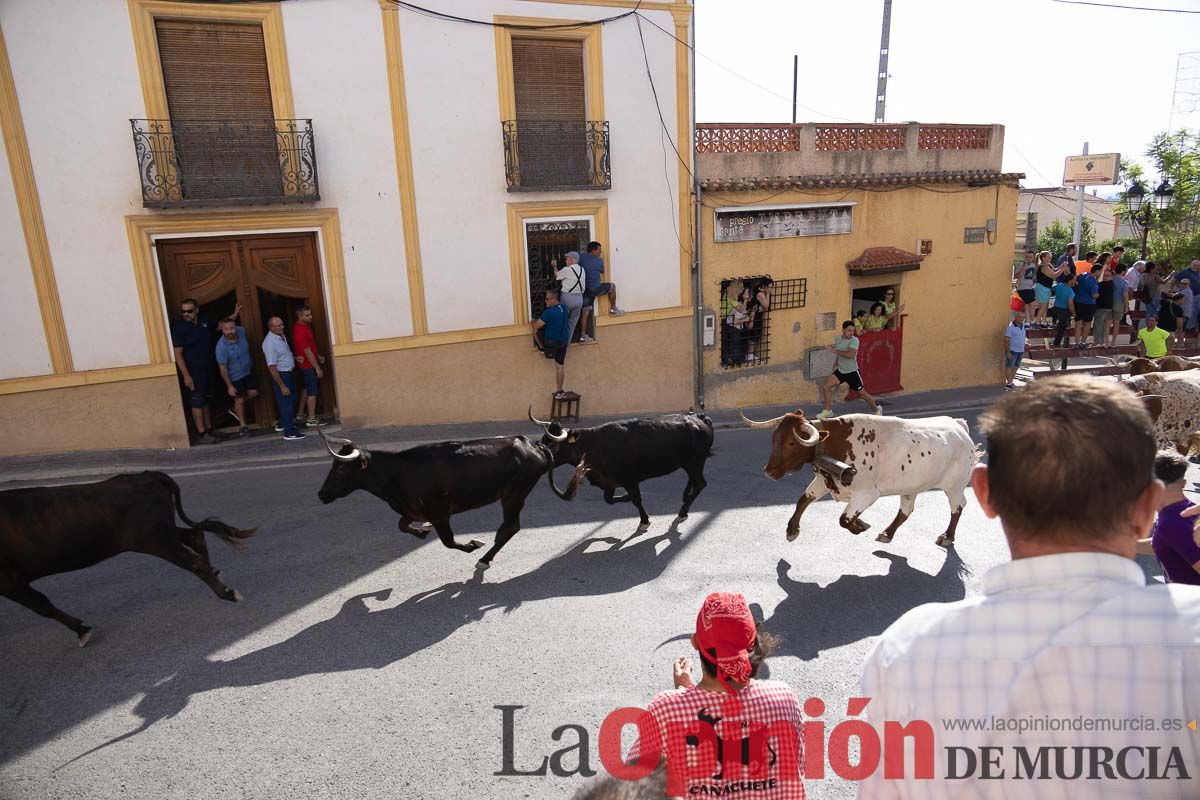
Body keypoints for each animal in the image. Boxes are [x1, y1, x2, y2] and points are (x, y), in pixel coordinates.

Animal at [1, 472, 255, 647]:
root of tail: (147, 475)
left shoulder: (9, 582)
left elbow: (41, 605)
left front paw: (82, 631)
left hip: (154, 539)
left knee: (194, 561)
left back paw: (228, 593)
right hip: (163, 533)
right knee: (195, 536)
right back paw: (216, 572)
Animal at [316, 424, 583, 568]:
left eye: (340, 469)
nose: (321, 494)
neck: (399, 473)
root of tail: (533, 445)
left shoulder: (440, 513)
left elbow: (449, 541)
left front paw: (473, 544)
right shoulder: (413, 509)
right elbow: (403, 525)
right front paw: (422, 531)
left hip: (514, 495)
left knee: (512, 526)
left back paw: (485, 557)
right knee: (509, 527)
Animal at [530, 410, 715, 534]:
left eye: (552, 444)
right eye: (542, 441)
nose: (538, 459)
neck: (594, 445)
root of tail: (698, 417)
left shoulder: (629, 480)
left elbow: (637, 500)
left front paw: (644, 521)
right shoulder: (609, 482)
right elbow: (610, 500)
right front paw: (626, 497)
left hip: (695, 462)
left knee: (700, 483)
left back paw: (683, 512)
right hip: (690, 464)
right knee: (694, 481)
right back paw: (685, 499)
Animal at [744, 410, 979, 546]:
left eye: (791, 443)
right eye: (774, 438)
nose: (769, 471)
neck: (835, 441)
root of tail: (959, 425)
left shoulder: (867, 493)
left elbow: (844, 519)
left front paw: (860, 525)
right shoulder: (824, 481)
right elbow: (803, 500)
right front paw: (792, 530)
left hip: (954, 486)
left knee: (958, 507)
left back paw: (947, 537)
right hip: (910, 486)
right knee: (906, 510)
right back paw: (887, 534)